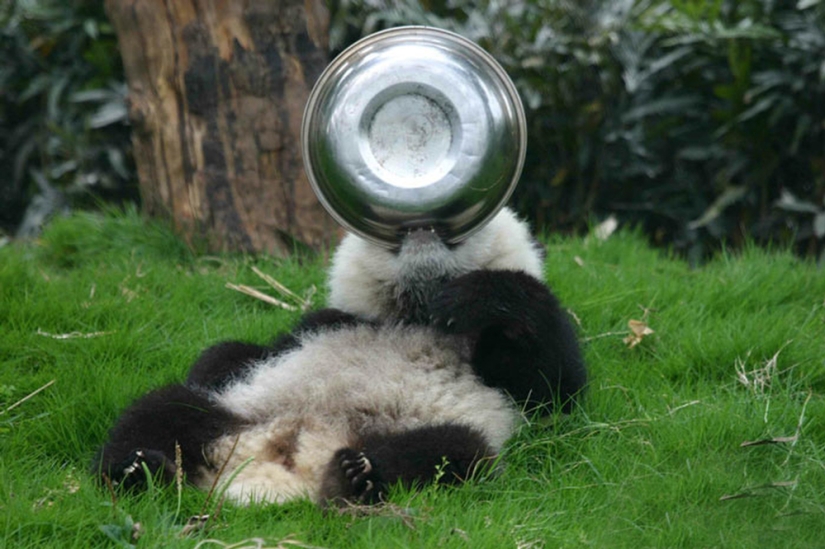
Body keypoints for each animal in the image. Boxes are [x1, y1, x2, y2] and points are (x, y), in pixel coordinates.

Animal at [94, 207, 586, 506]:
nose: (421, 226)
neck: (413, 313)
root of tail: (286, 466)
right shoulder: (330, 321)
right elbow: (232, 356)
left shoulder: (498, 369)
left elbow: (556, 386)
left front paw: (481, 296)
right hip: (235, 415)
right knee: (161, 409)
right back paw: (138, 472)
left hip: (446, 435)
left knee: (455, 451)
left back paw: (357, 474)